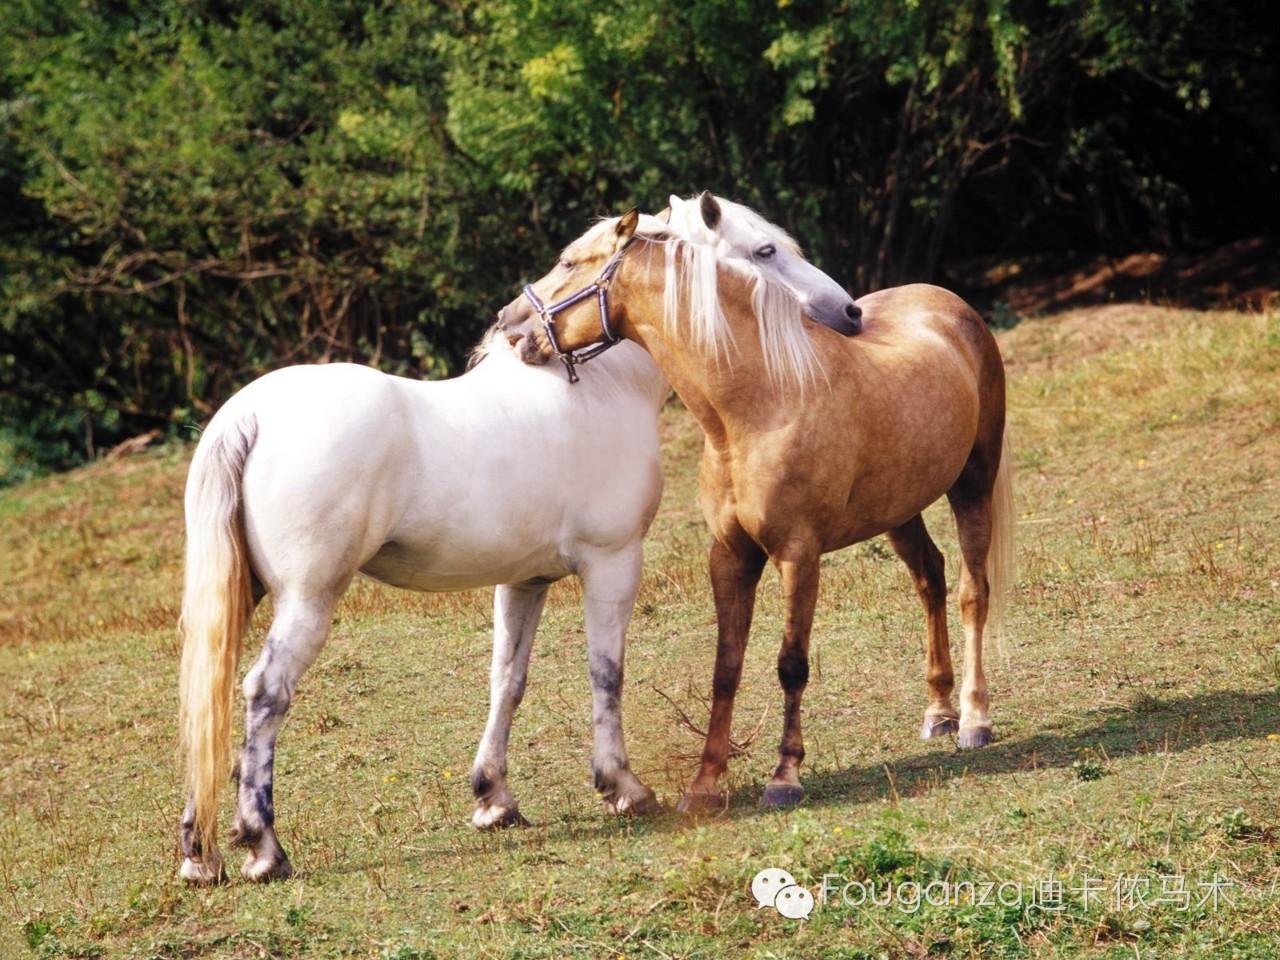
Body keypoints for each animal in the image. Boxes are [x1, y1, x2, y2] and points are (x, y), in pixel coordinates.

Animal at [494, 199, 1013, 814]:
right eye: (765, 250)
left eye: (570, 262)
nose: (510, 325)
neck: (760, 402)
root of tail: (948, 303)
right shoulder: (730, 556)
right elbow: (726, 667)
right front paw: (704, 784)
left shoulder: (797, 555)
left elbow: (791, 664)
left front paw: (784, 776)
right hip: (898, 508)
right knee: (930, 579)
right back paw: (939, 712)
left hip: (972, 486)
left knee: (971, 593)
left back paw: (974, 720)